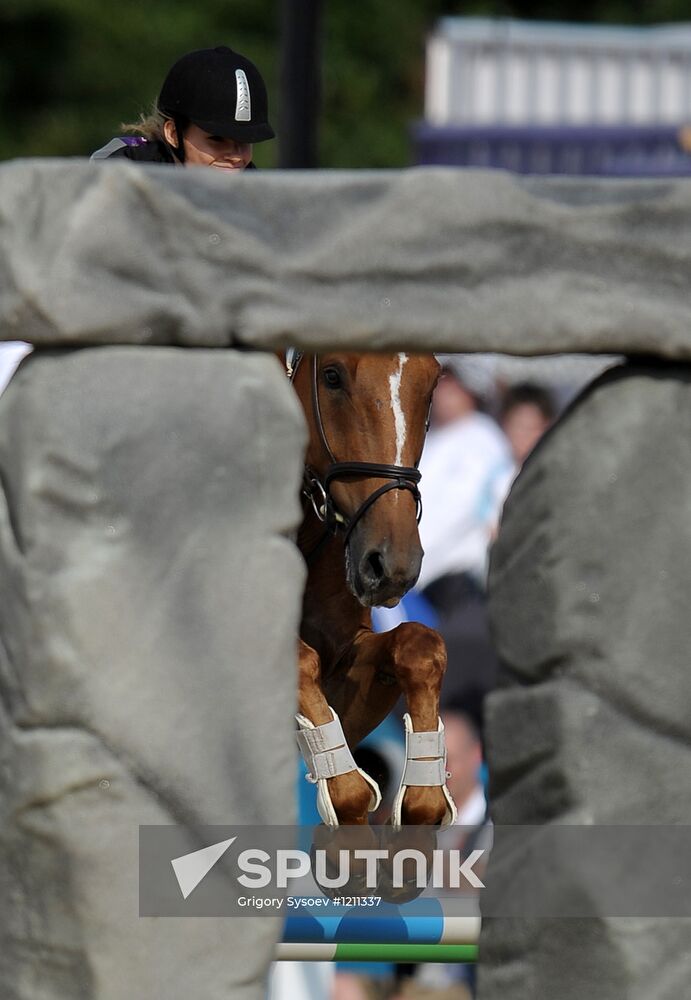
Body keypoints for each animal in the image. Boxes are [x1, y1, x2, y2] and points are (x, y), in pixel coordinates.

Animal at [286, 348, 460, 832]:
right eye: (331, 376)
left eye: (431, 383)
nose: (393, 566)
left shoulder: (346, 672)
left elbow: (418, 645)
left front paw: (422, 800)